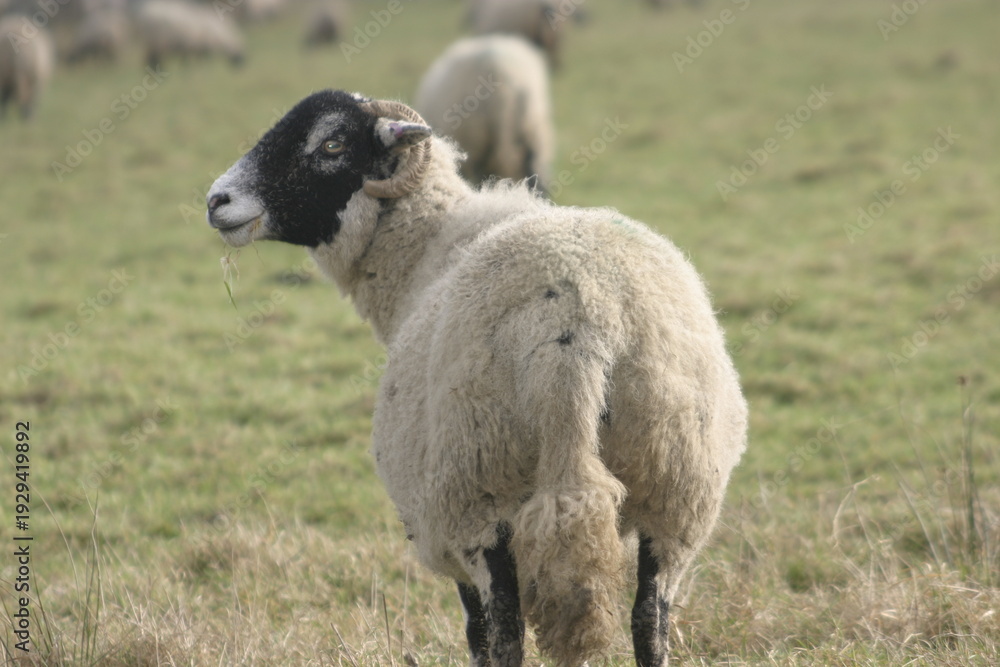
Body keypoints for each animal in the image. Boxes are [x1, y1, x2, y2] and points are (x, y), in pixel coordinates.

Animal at [205, 91, 748, 667]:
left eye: (331, 144)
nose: (217, 200)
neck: (423, 249)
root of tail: (577, 320)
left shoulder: (442, 530)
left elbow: (477, 633)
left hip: (478, 494)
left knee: (505, 632)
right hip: (678, 494)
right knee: (649, 620)